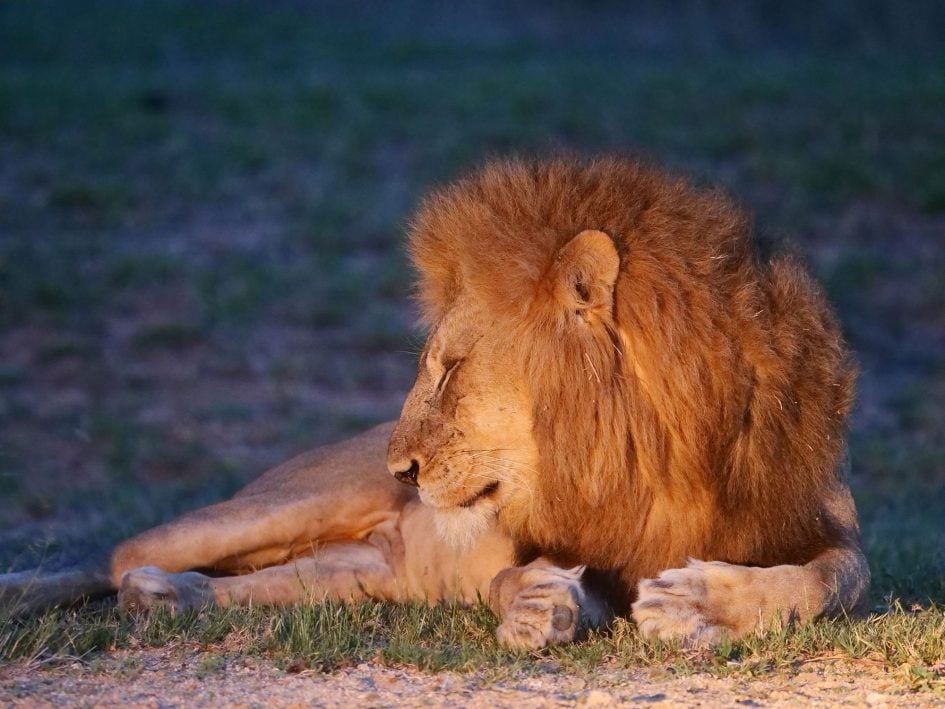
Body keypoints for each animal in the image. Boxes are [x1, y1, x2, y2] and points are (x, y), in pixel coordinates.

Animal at [0, 157, 869, 649]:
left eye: (450, 368)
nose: (402, 468)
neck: (647, 453)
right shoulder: (520, 539)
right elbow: (510, 576)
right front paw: (536, 605)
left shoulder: (820, 520)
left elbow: (831, 580)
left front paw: (699, 604)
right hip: (282, 505)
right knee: (115, 553)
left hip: (363, 572)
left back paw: (165, 599)